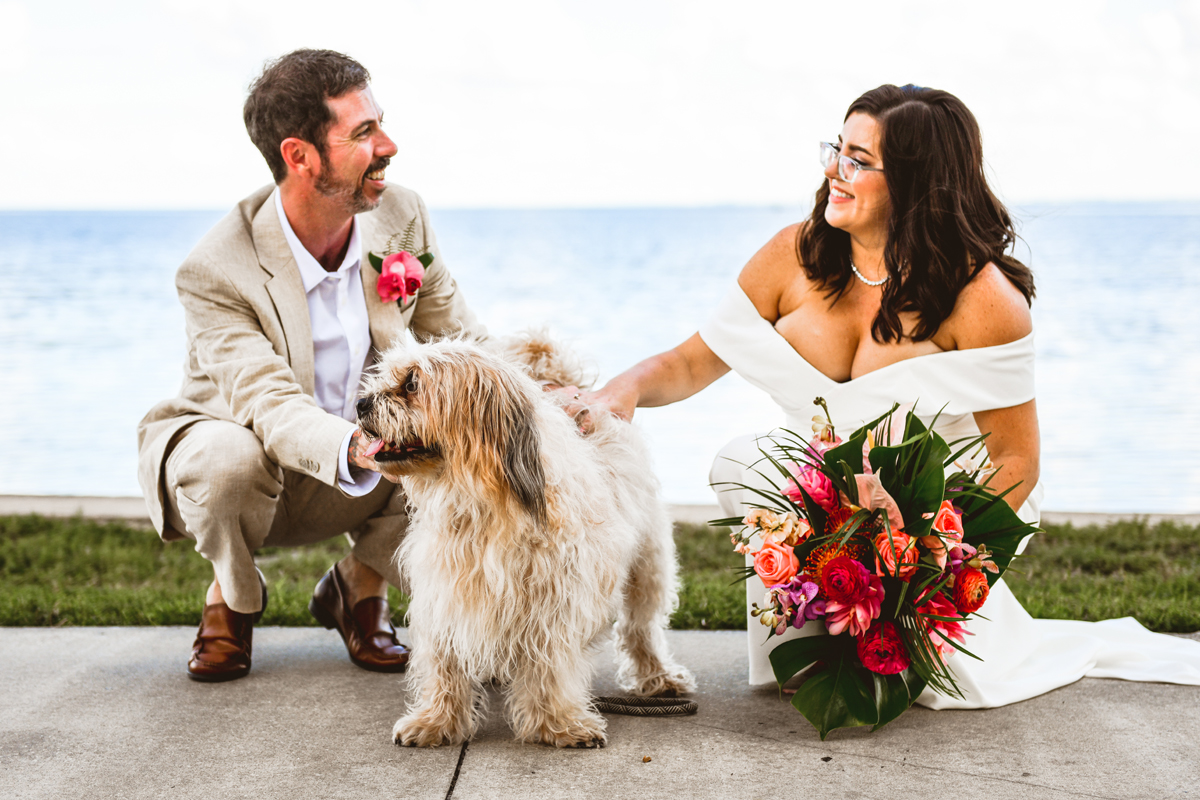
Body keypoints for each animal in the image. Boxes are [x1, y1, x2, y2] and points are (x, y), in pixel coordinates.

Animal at [355, 333, 696, 753]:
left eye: (412, 384)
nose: (361, 403)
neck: (479, 502)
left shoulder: (553, 601)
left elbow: (549, 665)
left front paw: (557, 723)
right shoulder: (445, 594)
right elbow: (445, 664)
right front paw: (437, 720)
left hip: (648, 566)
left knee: (641, 628)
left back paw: (657, 676)